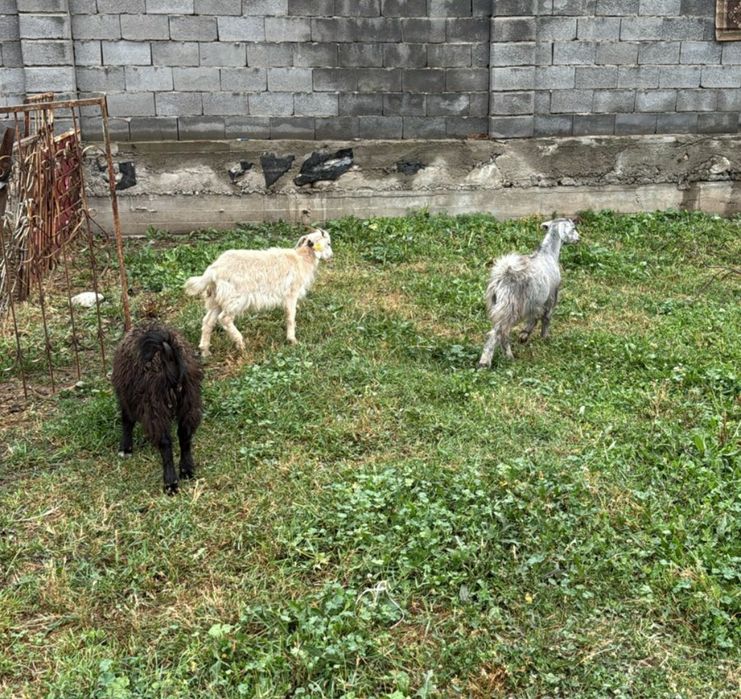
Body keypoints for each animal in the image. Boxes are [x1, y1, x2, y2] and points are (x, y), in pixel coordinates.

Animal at [111, 324, 203, 494]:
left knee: (165, 443)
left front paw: (125, 449)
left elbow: (127, 421)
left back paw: (170, 483)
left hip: (154, 404)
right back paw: (186, 470)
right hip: (189, 398)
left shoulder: (126, 397)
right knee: (185, 434)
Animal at [184, 228, 333, 357]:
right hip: (235, 298)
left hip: (217, 298)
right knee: (224, 319)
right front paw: (292, 340)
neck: (301, 259)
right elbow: (290, 316)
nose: (331, 256)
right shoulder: (291, 293)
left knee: (208, 321)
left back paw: (205, 351)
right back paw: (240, 343)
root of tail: (213, 271)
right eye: (328, 243)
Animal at [477, 218, 580, 368]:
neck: (548, 254)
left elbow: (534, 318)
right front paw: (544, 338)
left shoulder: (535, 303)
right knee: (497, 333)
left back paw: (507, 356)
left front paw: (523, 335)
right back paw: (487, 362)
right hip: (511, 308)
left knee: (502, 333)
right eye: (573, 228)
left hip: (498, 306)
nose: (579, 238)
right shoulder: (550, 298)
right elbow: (545, 318)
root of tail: (503, 276)